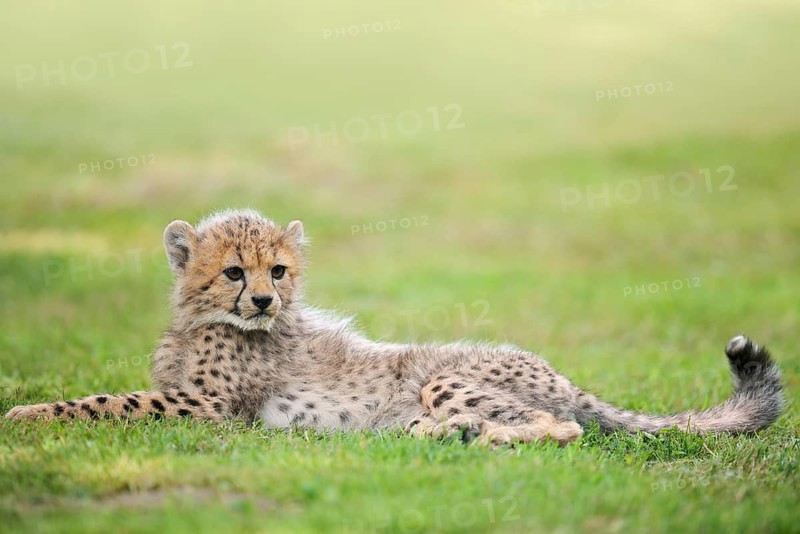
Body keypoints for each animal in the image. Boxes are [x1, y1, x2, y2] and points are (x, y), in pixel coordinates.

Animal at [5, 209, 785, 447]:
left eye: (277, 271)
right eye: (233, 273)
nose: (262, 302)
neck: (206, 321)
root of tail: (559, 372)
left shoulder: (207, 407)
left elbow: (105, 401)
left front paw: (26, 413)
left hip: (447, 377)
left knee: (562, 428)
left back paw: (471, 436)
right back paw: (443, 435)